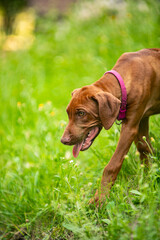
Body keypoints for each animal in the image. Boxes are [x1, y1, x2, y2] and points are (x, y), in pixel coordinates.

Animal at [60, 48, 160, 204]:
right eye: (68, 113)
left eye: (81, 113)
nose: (63, 140)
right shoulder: (141, 120)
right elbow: (145, 149)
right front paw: (148, 181)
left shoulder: (130, 128)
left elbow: (111, 166)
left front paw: (99, 199)